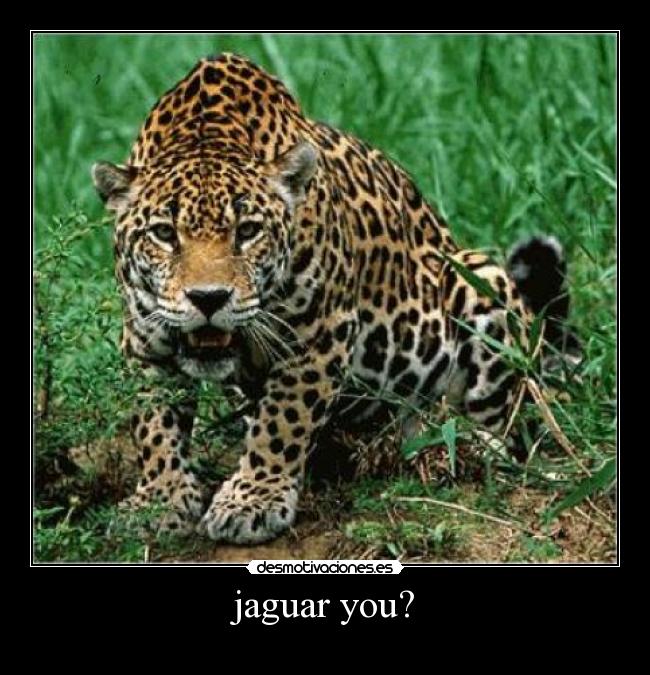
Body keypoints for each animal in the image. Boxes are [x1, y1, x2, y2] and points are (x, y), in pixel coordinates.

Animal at [92, 52, 579, 544]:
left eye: (247, 231)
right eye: (163, 233)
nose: (207, 299)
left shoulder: (318, 334)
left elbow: (282, 421)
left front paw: (253, 499)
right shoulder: (145, 340)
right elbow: (154, 423)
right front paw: (160, 499)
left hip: (478, 280)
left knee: (512, 426)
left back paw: (465, 441)